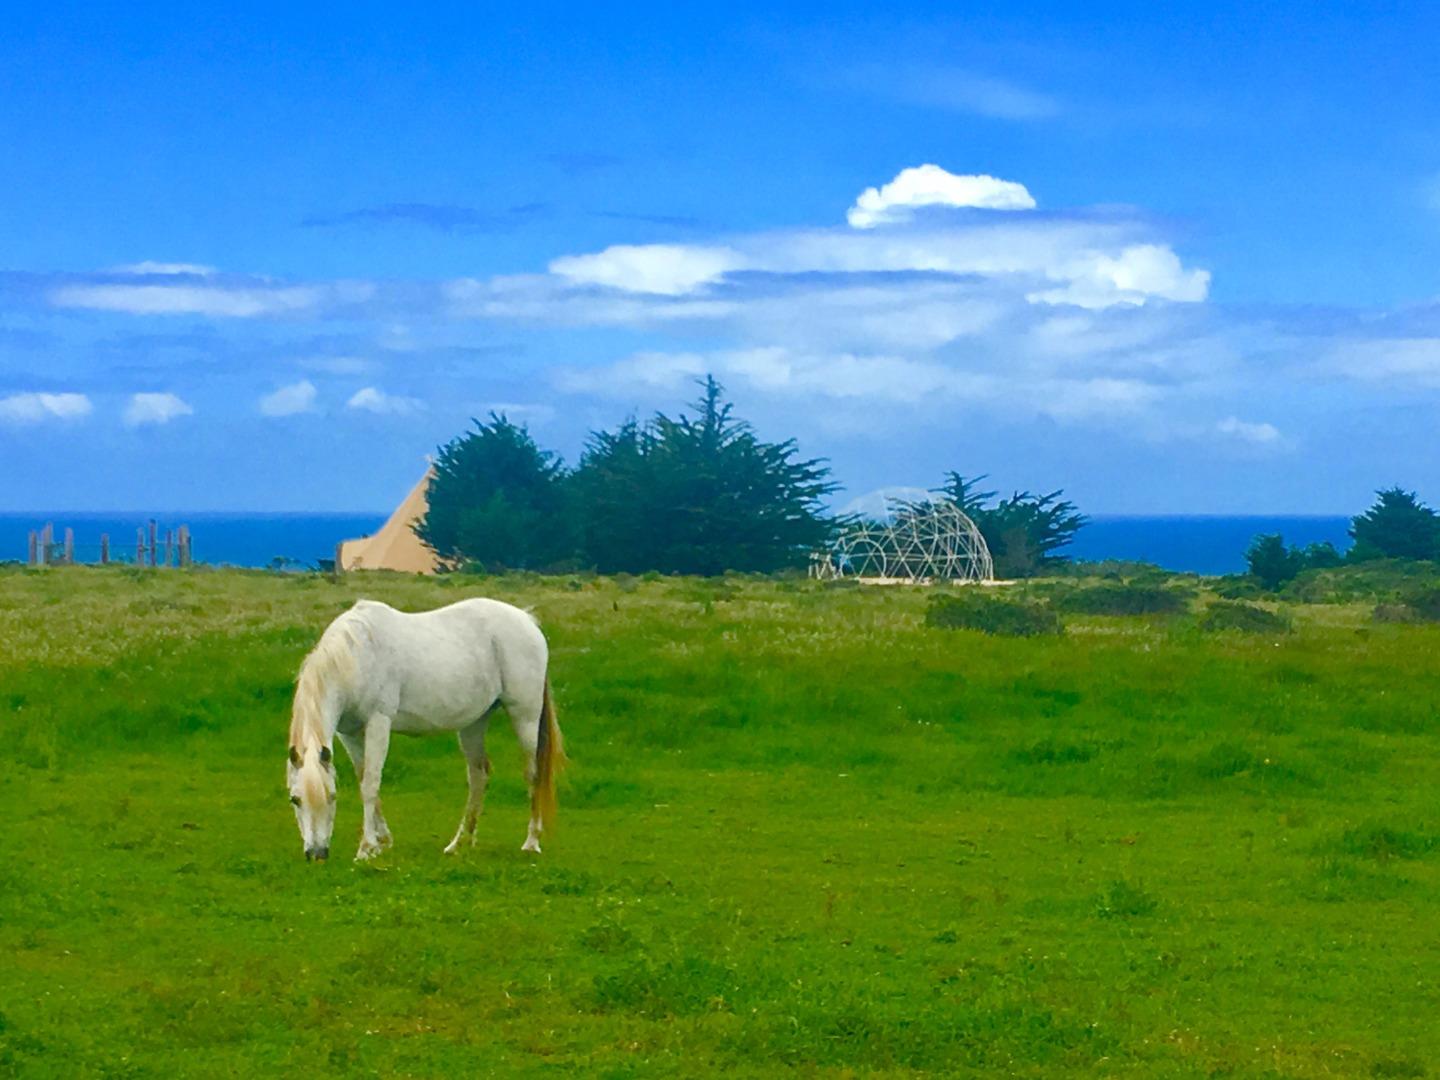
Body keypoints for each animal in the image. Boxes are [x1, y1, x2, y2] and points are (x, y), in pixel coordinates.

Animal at [283, 601, 564, 864]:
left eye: (332, 797)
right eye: (295, 800)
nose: (317, 853)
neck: (356, 656)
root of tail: (527, 620)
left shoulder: (378, 722)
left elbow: (370, 784)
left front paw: (366, 848)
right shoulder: (349, 734)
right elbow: (364, 779)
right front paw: (383, 841)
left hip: (525, 717)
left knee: (533, 775)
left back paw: (531, 842)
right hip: (474, 723)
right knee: (478, 776)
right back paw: (459, 843)